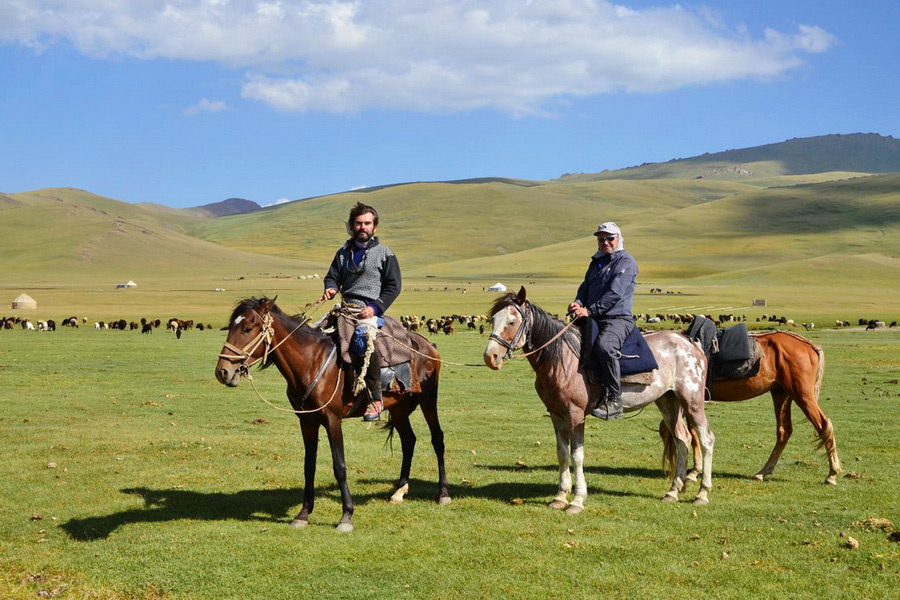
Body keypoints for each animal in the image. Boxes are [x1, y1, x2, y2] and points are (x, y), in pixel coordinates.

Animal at [212, 298, 450, 532]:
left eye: (247, 328)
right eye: (231, 327)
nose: (223, 371)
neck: (311, 362)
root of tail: (428, 345)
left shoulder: (332, 420)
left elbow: (340, 467)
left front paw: (346, 516)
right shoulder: (307, 421)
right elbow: (309, 466)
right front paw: (303, 514)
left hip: (428, 399)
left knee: (437, 438)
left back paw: (443, 494)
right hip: (398, 407)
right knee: (408, 440)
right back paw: (398, 492)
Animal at [486, 290, 716, 510]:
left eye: (512, 322)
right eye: (493, 319)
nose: (490, 357)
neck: (562, 359)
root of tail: (691, 343)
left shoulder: (576, 414)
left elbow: (577, 455)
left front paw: (577, 500)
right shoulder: (556, 414)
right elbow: (562, 453)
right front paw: (560, 496)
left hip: (692, 401)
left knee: (706, 439)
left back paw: (702, 494)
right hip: (668, 402)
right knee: (682, 439)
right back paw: (673, 492)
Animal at [664, 330, 840, 486]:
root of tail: (809, 345)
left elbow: (693, 433)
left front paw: (694, 471)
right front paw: (695, 470)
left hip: (802, 395)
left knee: (823, 425)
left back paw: (832, 474)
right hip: (781, 394)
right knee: (784, 431)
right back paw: (763, 472)